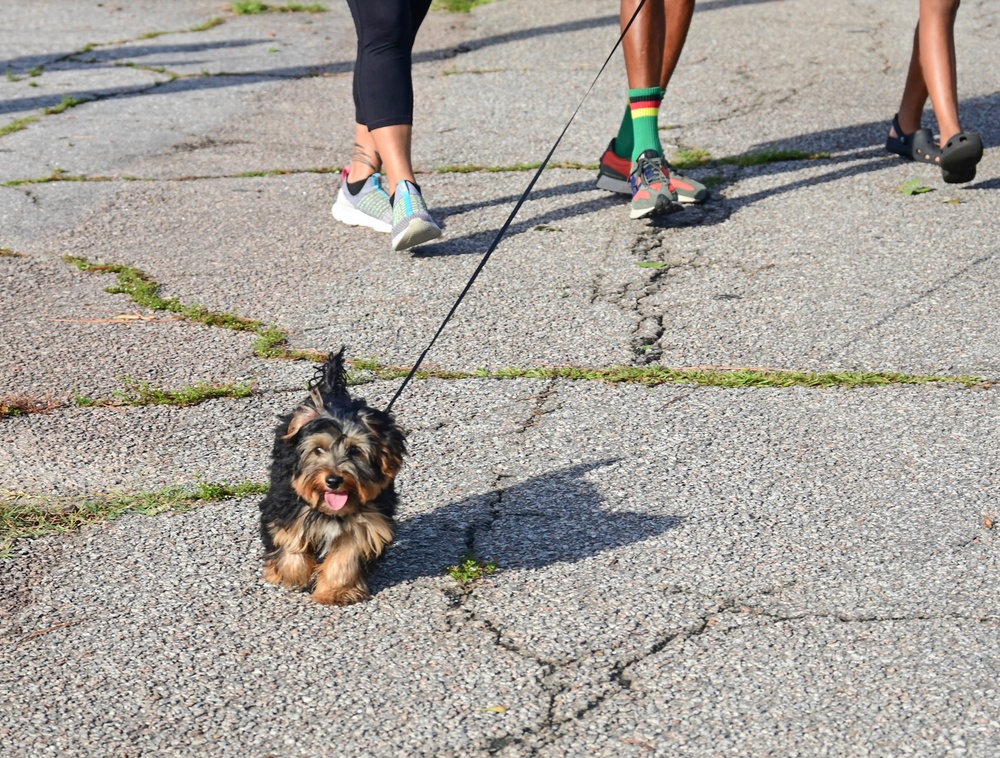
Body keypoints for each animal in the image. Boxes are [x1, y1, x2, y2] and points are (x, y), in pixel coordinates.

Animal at [258, 348, 406, 604]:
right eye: (318, 449)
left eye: (355, 451)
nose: (333, 480)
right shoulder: (288, 507)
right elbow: (292, 540)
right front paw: (289, 574)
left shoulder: (364, 525)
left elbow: (346, 557)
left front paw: (337, 591)